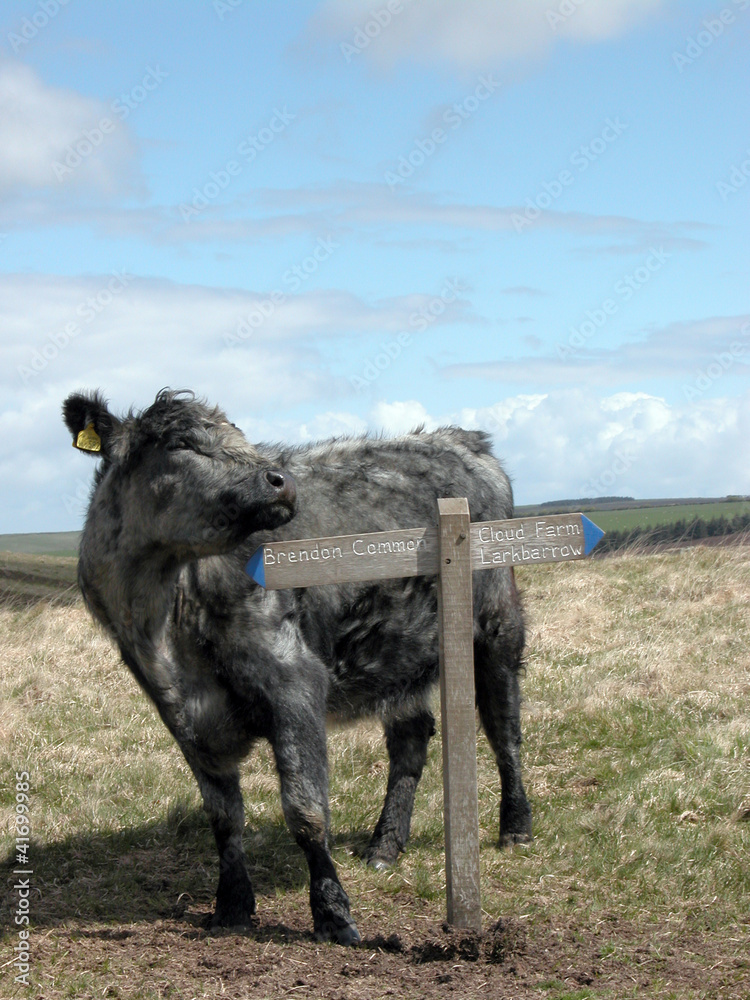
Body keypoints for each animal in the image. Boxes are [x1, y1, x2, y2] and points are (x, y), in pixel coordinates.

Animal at [62, 388, 532, 945]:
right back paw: (385, 845)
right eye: (181, 443)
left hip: (496, 625)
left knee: (503, 728)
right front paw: (232, 904)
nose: (280, 480)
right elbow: (223, 817)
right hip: (400, 651)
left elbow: (305, 811)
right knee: (411, 740)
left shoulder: (295, 682)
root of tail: (460, 439)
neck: (167, 613)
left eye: (239, 437)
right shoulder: (180, 713)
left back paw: (516, 827)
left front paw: (332, 912)